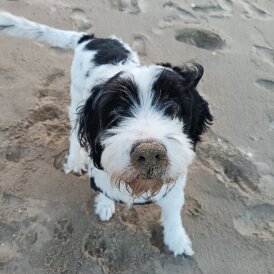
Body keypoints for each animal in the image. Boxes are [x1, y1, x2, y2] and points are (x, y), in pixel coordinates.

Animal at [0, 11, 213, 256]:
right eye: (117, 110)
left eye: (173, 106)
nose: (150, 153)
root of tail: (90, 38)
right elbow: (104, 189)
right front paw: (104, 205)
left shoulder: (174, 188)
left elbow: (173, 214)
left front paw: (177, 241)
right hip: (76, 96)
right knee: (73, 132)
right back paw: (75, 160)